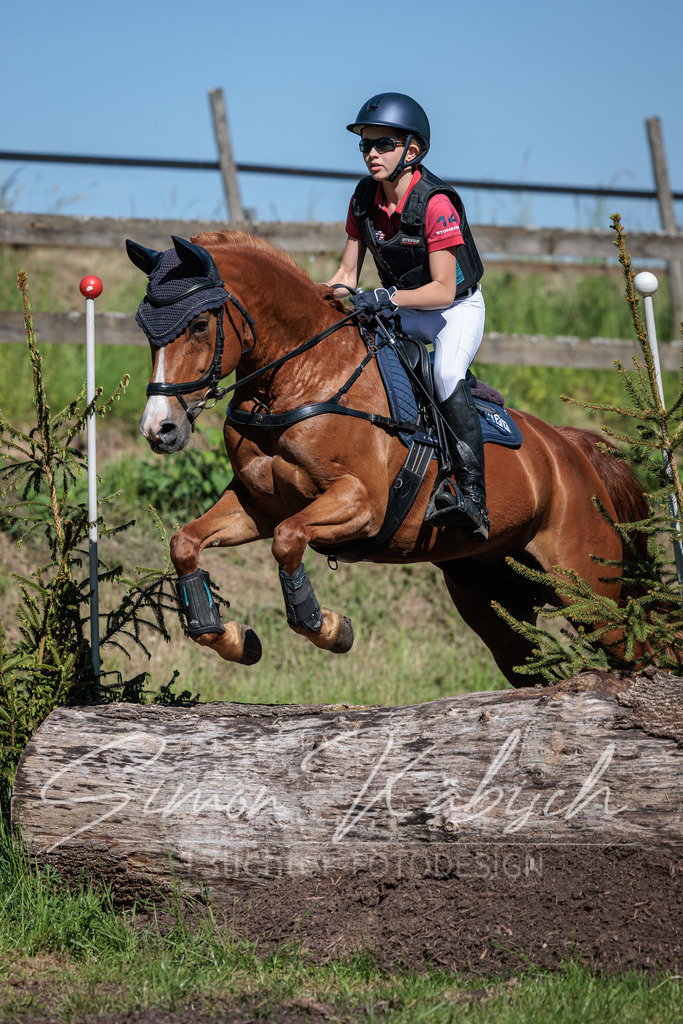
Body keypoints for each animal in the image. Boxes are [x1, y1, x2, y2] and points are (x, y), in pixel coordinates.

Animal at [126, 230, 649, 688]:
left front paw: (329, 628)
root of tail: (572, 449)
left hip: (587, 585)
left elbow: (288, 539)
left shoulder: (362, 505)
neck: (300, 377)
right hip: (495, 600)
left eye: (198, 325)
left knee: (637, 646)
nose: (159, 430)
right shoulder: (259, 505)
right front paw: (233, 638)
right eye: (145, 330)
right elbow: (186, 543)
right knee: (531, 668)